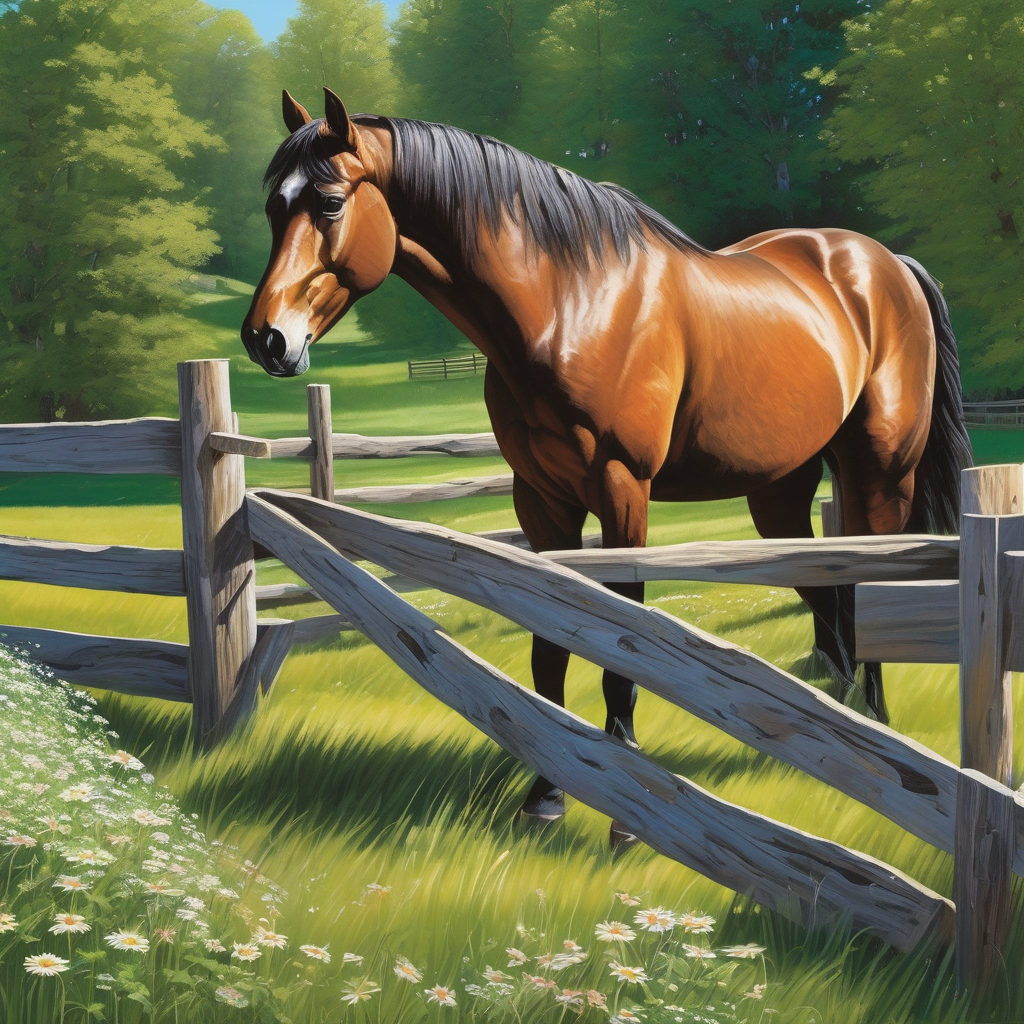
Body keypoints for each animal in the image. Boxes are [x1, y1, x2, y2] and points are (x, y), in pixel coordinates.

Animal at [242, 88, 972, 843]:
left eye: (329, 203)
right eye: (273, 206)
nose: (267, 339)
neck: (569, 304)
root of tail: (884, 264)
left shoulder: (623, 488)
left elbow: (624, 633)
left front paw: (627, 806)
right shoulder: (541, 501)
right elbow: (549, 645)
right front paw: (547, 793)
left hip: (879, 469)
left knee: (870, 585)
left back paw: (880, 739)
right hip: (779, 494)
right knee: (827, 592)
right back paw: (841, 731)